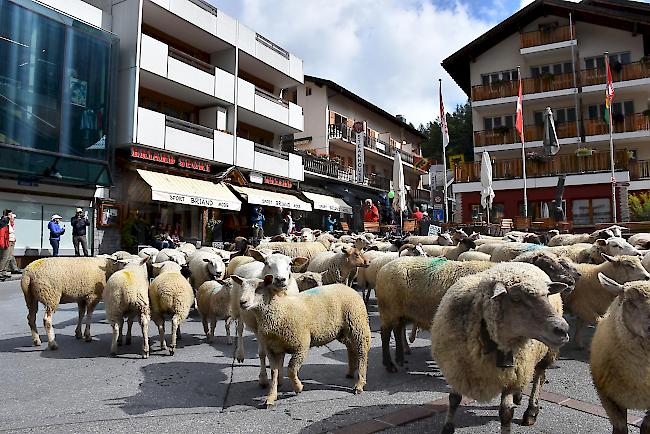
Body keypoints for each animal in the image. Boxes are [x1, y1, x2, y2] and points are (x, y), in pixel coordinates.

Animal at [237, 278, 370, 406]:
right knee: (351, 348)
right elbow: (274, 373)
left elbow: (291, 370)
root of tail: (347, 287)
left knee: (362, 352)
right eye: (242, 287)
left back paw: (359, 384)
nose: (242, 302)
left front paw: (298, 387)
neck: (280, 311)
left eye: (258, 289)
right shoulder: (273, 350)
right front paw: (270, 397)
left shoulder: (301, 346)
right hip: (342, 331)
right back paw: (351, 372)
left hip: (358, 324)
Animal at [430, 262, 568, 432]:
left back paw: (531, 411)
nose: (563, 329)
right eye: (515, 298)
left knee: (539, 377)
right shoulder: (457, 368)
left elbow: (506, 413)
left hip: (546, 352)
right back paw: (519, 396)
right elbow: (454, 399)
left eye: (547, 295)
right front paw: (448, 427)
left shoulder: (510, 376)